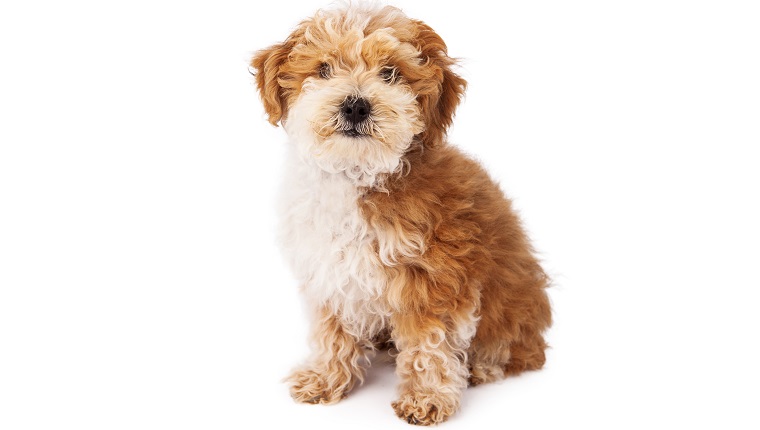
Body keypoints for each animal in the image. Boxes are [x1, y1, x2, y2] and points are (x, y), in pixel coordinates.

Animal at [251, 3, 552, 424]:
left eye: (390, 73)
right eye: (324, 69)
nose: (356, 104)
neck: (359, 173)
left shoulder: (434, 278)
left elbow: (430, 344)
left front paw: (426, 398)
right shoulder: (329, 271)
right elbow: (332, 332)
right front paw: (325, 377)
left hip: (514, 306)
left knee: (519, 351)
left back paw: (481, 367)